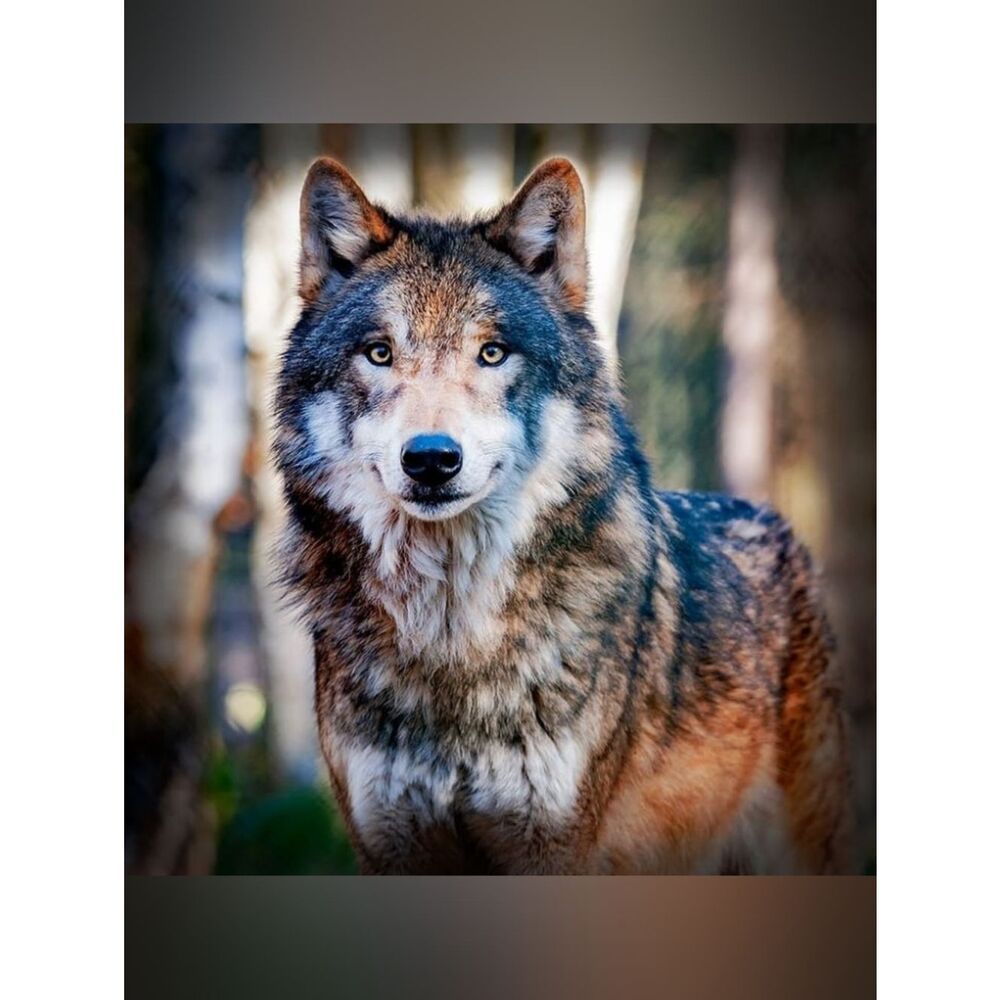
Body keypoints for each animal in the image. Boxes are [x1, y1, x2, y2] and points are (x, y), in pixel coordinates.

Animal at [273, 156, 854, 874]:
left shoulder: (553, 846)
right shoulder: (389, 846)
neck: (450, 635)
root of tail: (775, 524)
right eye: (378, 353)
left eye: (492, 353)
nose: (431, 459)